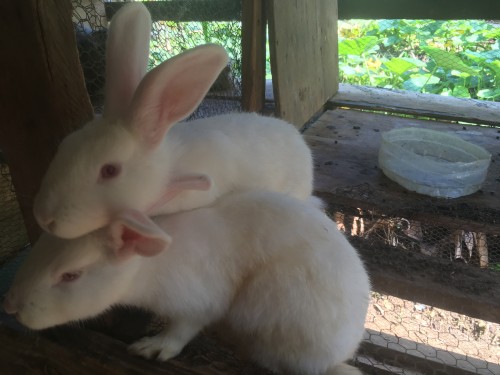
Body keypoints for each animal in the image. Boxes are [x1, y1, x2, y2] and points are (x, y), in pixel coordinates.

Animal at [4, 191, 372, 375]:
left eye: (70, 275)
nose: (10, 307)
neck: (147, 267)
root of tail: (343, 349)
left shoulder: (198, 302)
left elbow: (182, 330)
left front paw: (151, 348)